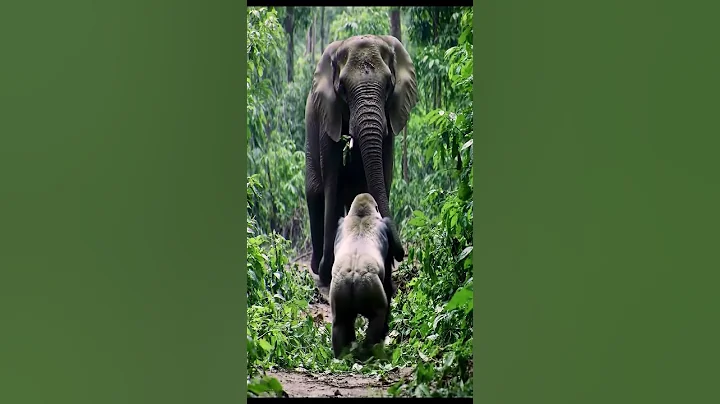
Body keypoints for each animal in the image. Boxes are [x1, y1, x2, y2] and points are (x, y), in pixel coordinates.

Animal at [304, 35, 418, 288]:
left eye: (388, 85)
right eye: (343, 89)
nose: (401, 254)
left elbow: (383, 177)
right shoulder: (328, 117)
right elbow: (332, 183)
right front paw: (328, 273)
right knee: (315, 193)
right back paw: (317, 268)